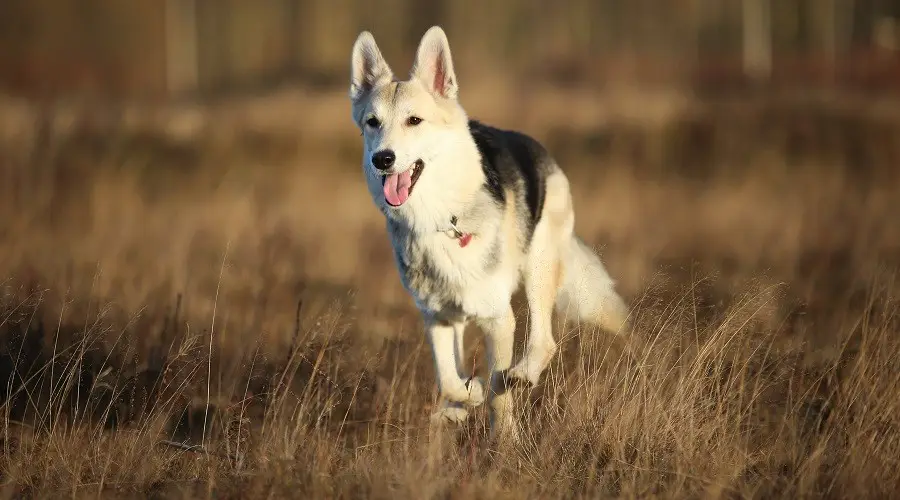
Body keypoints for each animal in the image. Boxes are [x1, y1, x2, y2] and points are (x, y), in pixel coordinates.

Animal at [348, 26, 628, 442]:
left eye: (414, 120)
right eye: (372, 122)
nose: (382, 159)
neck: (440, 218)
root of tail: (536, 146)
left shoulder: (499, 318)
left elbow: (498, 392)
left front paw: (504, 440)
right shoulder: (436, 318)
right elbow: (451, 380)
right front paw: (466, 400)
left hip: (538, 270)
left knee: (543, 342)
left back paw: (522, 375)